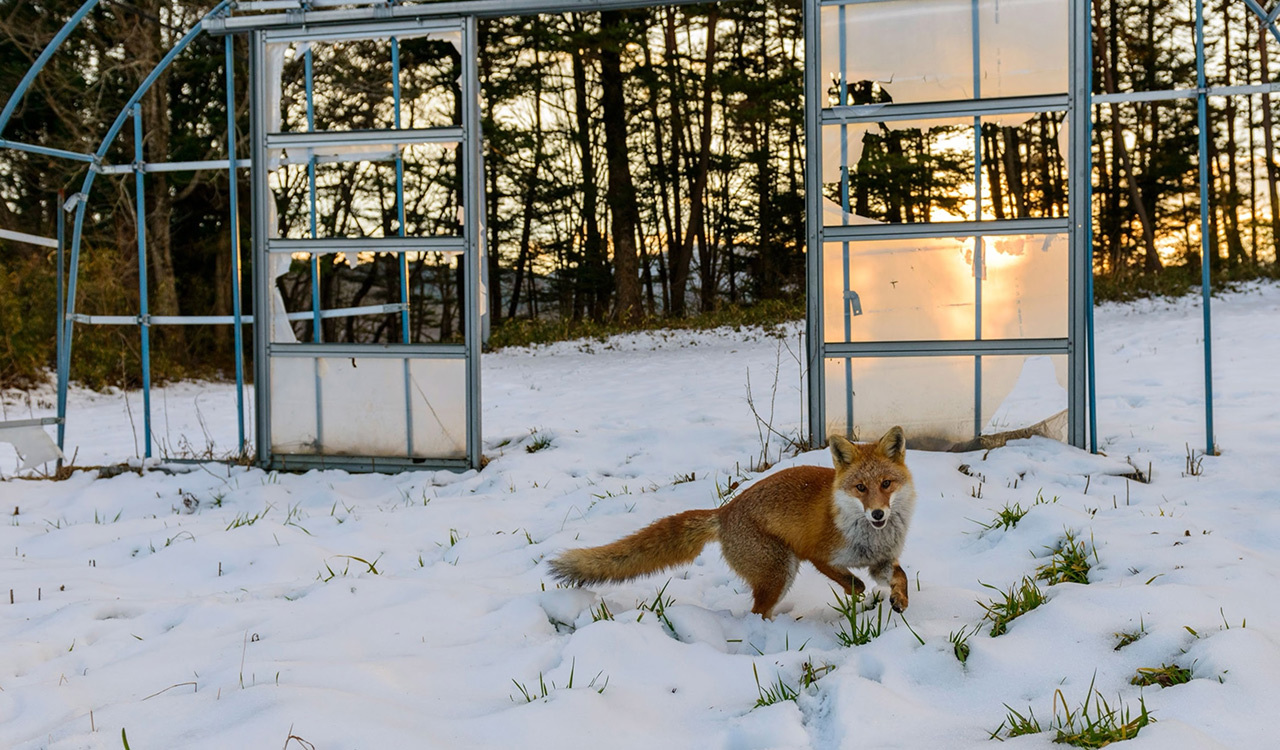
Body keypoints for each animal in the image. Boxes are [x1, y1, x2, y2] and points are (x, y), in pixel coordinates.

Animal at [545, 422, 916, 616]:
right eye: (860, 488)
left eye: (886, 484)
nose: (878, 513)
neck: (869, 538)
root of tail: (724, 511)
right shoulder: (817, 554)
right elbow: (854, 583)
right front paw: (860, 598)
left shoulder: (881, 561)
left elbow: (901, 577)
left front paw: (899, 600)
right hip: (779, 571)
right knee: (757, 613)